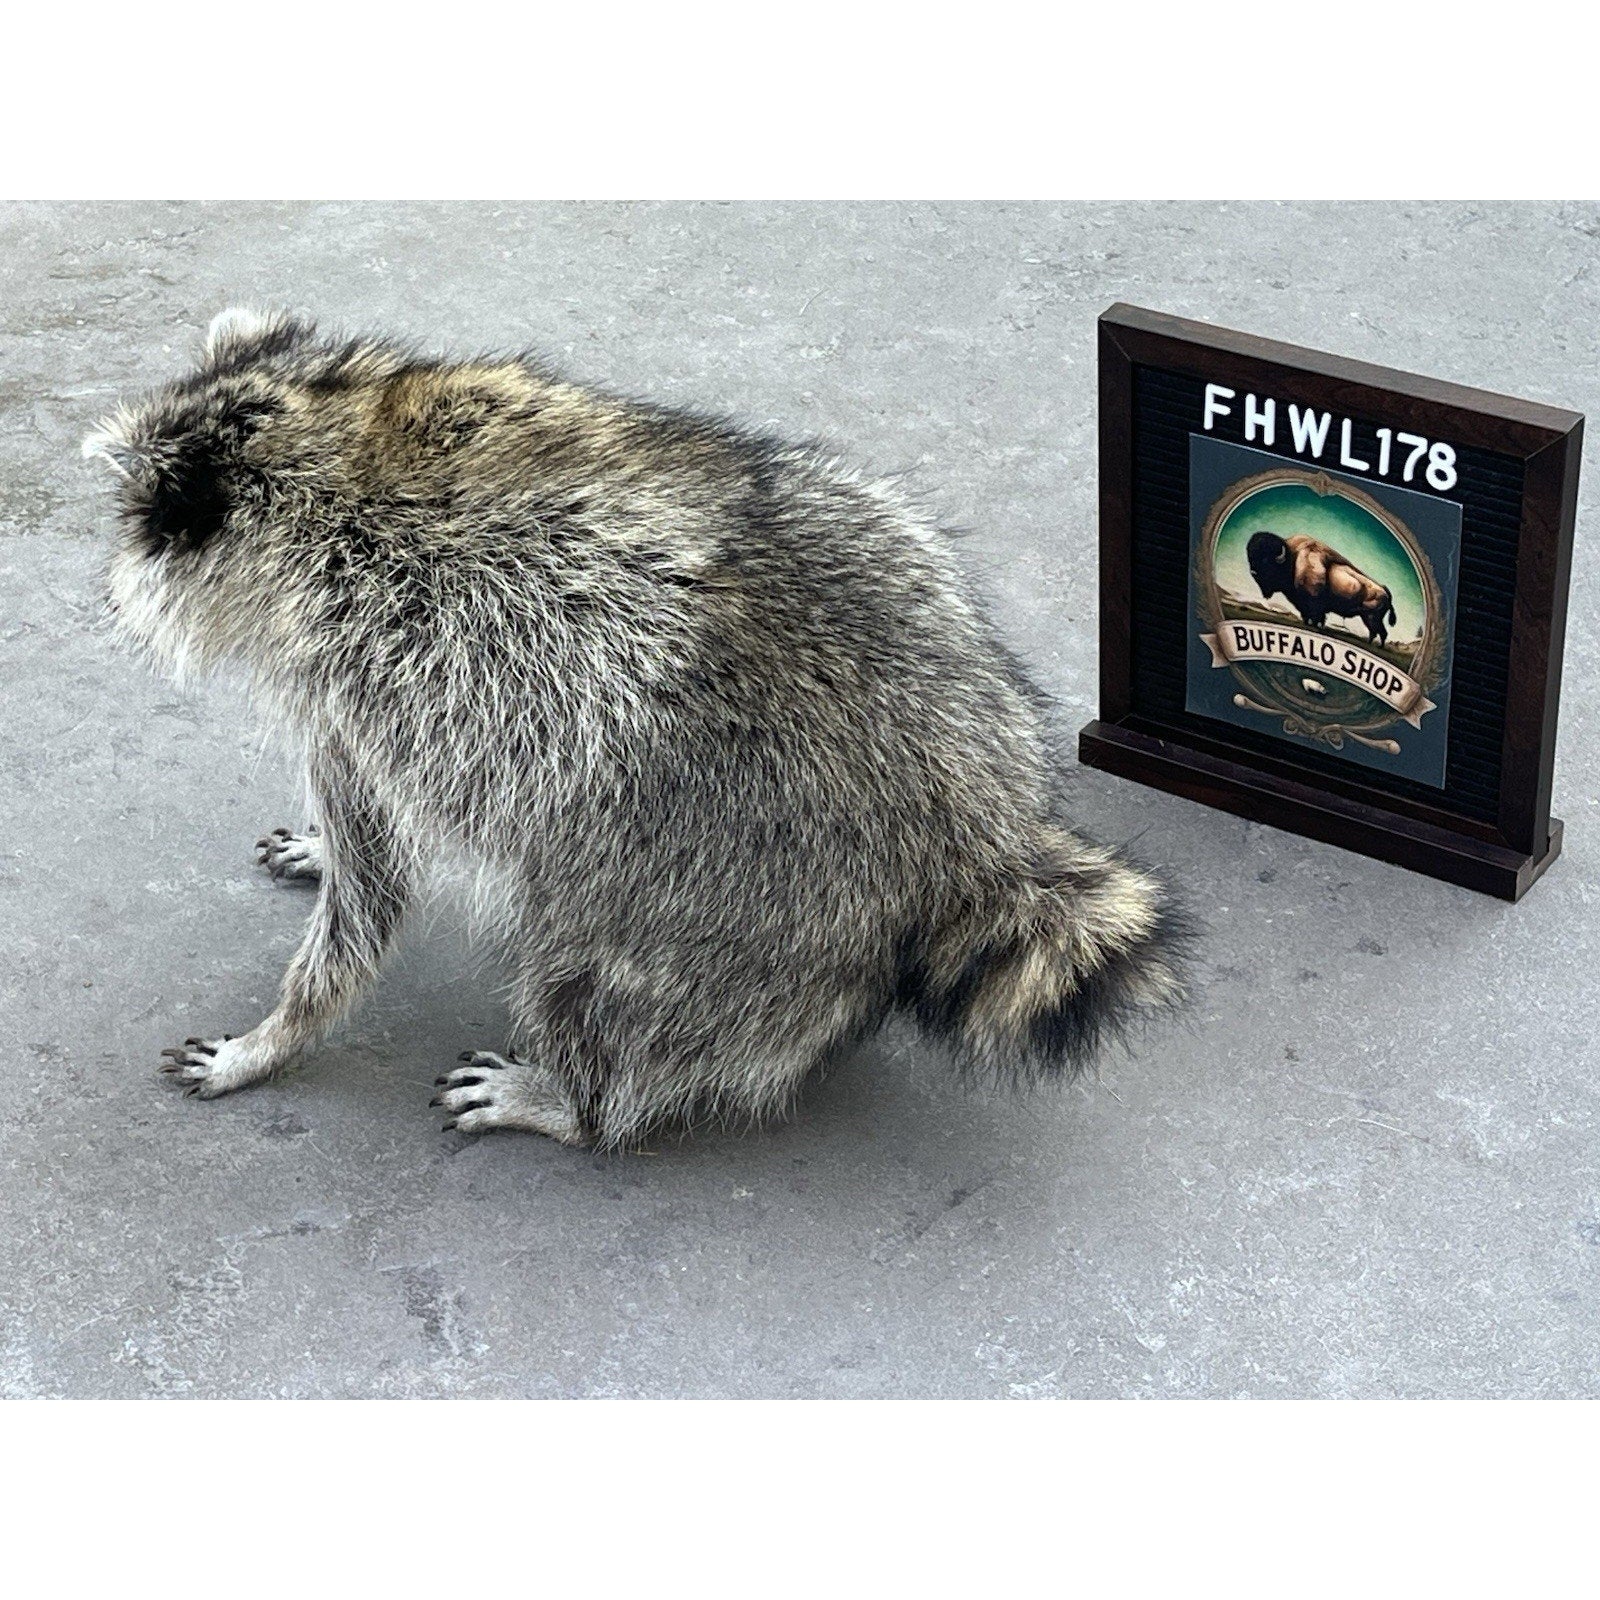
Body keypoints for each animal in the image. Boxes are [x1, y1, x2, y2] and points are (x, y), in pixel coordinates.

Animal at [83, 308, 1188, 1149]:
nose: (99, 588)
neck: (334, 438)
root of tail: (973, 825)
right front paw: (315, 853)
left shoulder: (364, 690)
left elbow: (371, 892)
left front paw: (273, 1034)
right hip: (893, 554)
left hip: (730, 885)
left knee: (582, 961)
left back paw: (578, 1099)